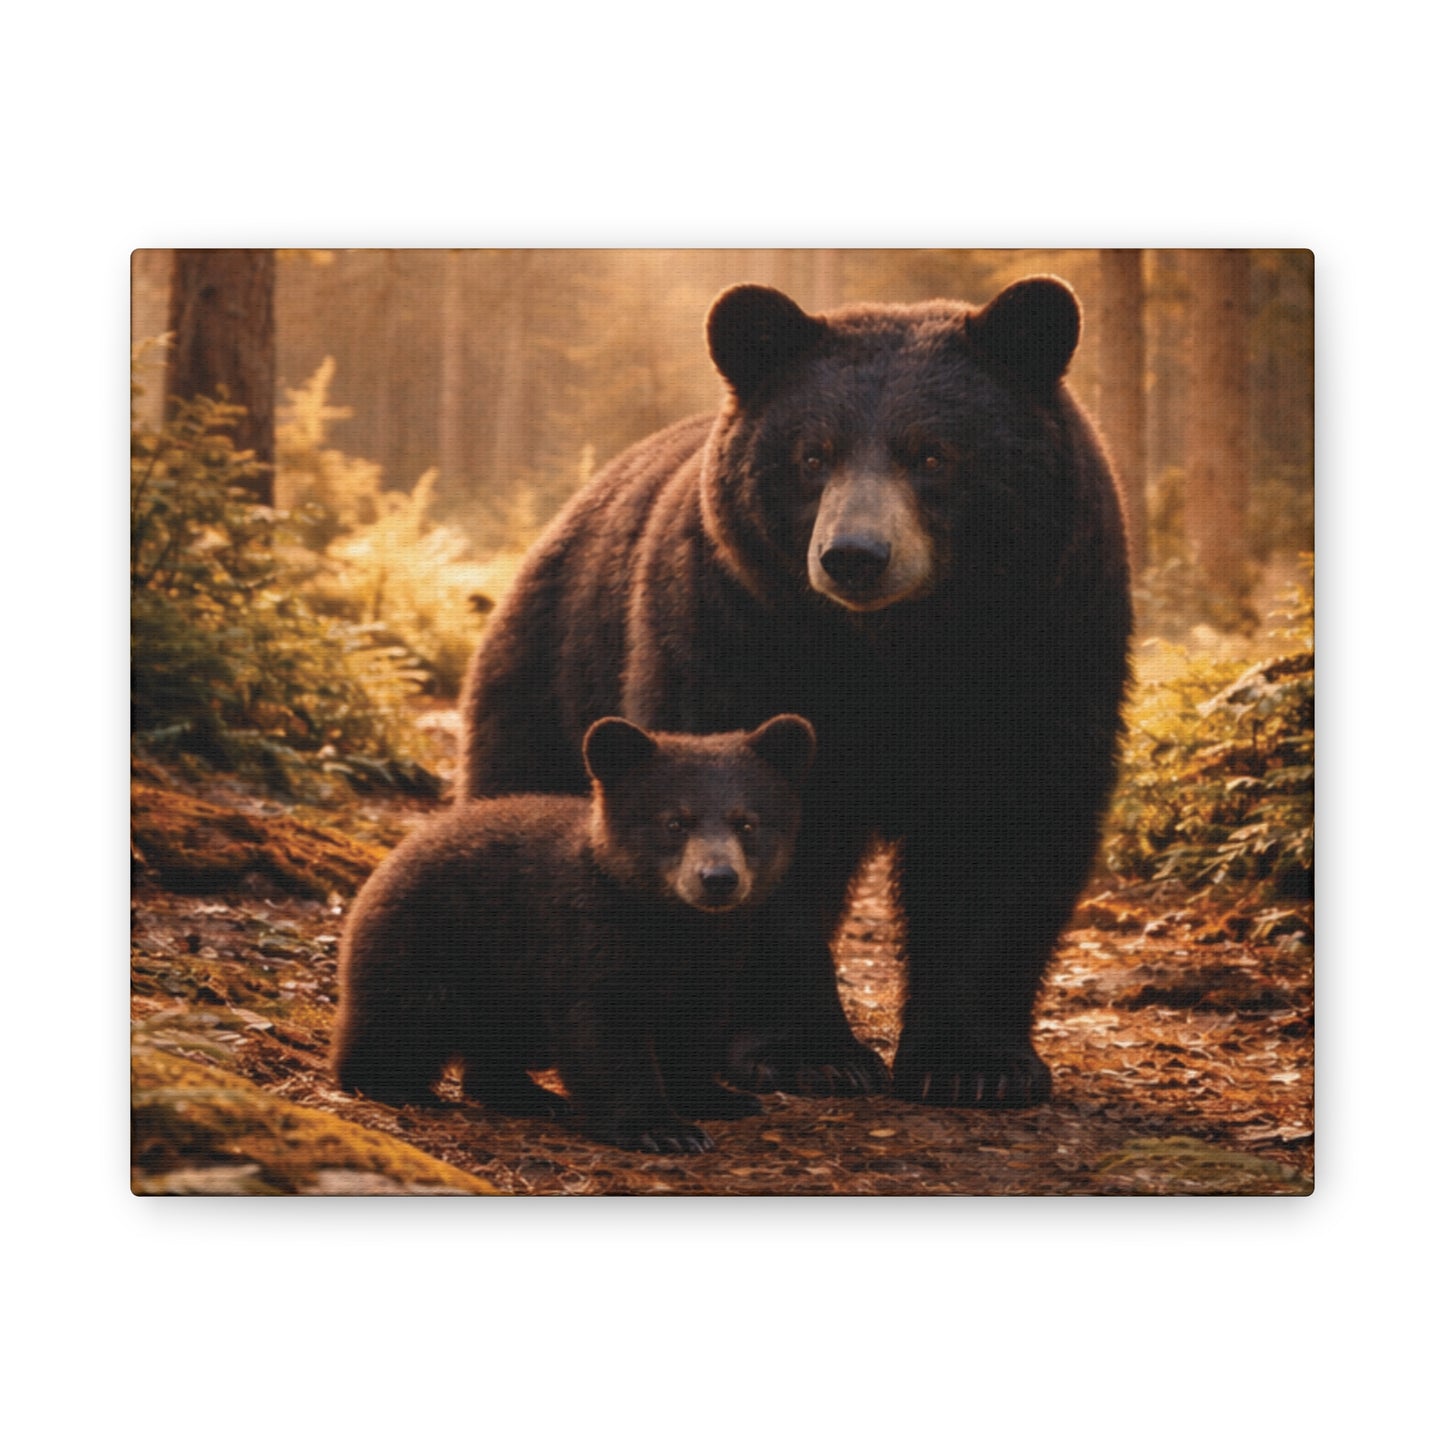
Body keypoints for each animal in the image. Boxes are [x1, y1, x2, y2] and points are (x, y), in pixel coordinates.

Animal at [331, 713, 816, 1153]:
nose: (718, 879)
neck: (668, 923)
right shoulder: (585, 940)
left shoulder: (714, 958)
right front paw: (662, 1129)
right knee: (403, 1020)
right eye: (675, 821)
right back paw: (395, 1085)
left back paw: (529, 1095)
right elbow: (604, 1032)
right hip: (433, 947)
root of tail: (394, 854)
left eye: (747, 822)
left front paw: (718, 1097)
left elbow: (693, 1025)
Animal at [459, 275, 1132, 1109]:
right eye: (813, 453)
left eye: (932, 452)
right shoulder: (737, 633)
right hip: (555, 671)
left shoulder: (1046, 644)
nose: (854, 555)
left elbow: (1005, 827)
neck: (895, 650)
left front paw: (976, 1063)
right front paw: (808, 1053)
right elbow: (753, 819)